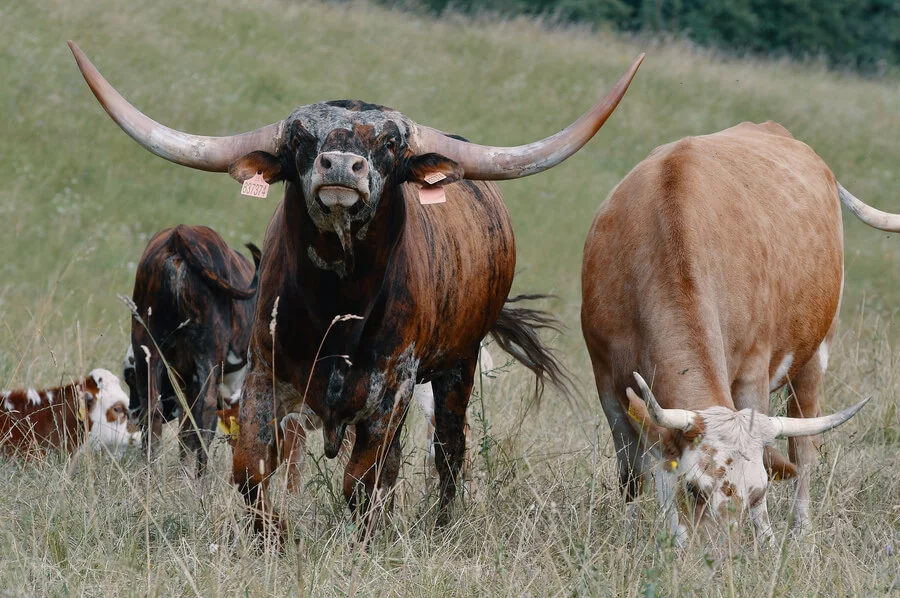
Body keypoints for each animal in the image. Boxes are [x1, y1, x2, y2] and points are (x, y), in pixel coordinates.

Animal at [126, 225, 260, 478]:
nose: (130, 413)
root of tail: (180, 235)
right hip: (208, 359)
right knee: (204, 419)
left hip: (147, 352)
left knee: (154, 413)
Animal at [584, 122, 892, 548]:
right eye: (694, 488)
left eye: (756, 492)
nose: (717, 557)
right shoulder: (605, 380)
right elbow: (631, 471)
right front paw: (628, 539)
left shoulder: (752, 372)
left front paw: (767, 542)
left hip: (816, 353)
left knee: (803, 450)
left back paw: (801, 529)